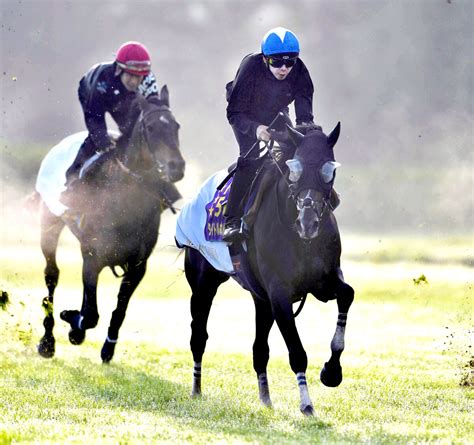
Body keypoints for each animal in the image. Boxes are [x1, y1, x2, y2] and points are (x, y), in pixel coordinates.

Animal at [36, 86, 185, 360]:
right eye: (150, 127)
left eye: (176, 126)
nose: (176, 167)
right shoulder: (92, 256)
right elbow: (90, 314)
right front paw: (72, 324)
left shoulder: (138, 266)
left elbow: (118, 311)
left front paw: (107, 346)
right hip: (49, 225)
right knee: (52, 277)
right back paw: (47, 342)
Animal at [183, 121, 354, 412]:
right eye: (294, 170)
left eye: (329, 170)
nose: (308, 223)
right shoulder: (279, 293)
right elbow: (297, 352)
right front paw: (306, 403)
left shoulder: (324, 281)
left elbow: (347, 294)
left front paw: (332, 371)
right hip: (203, 284)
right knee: (198, 337)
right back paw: (196, 389)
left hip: (259, 299)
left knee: (259, 349)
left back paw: (265, 397)